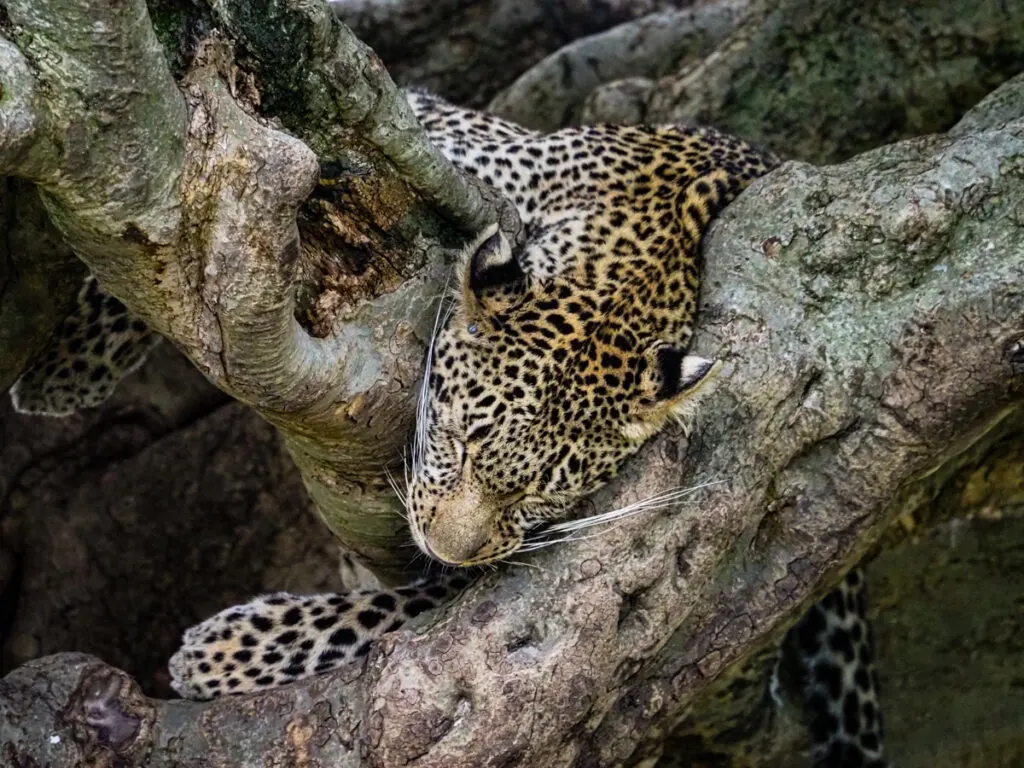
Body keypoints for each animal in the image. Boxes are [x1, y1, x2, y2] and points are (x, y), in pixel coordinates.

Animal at [8, 88, 884, 765]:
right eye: (459, 439)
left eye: (540, 497)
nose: (446, 545)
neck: (640, 249)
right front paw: (61, 373)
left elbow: (397, 613)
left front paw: (229, 652)